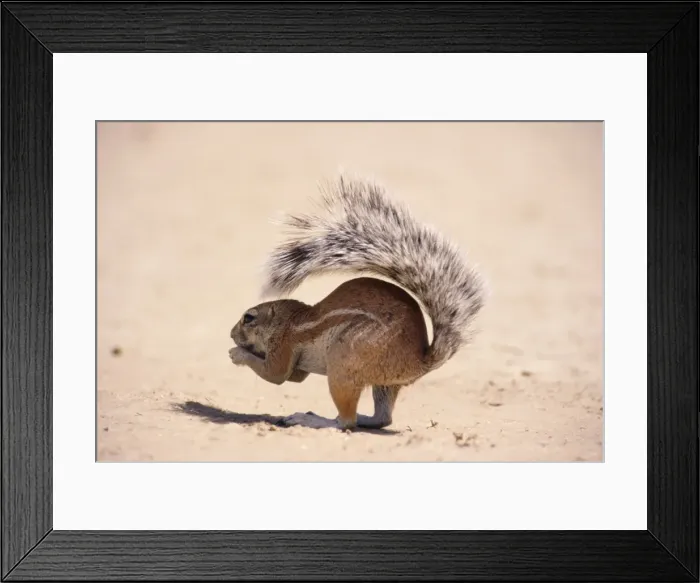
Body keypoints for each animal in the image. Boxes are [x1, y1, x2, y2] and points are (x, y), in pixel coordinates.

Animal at [229, 174, 487, 431]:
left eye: (249, 318)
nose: (231, 334)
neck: (289, 321)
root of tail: (420, 361)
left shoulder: (284, 344)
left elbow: (275, 375)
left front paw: (237, 354)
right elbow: (294, 377)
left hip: (343, 363)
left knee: (346, 421)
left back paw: (313, 418)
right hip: (384, 383)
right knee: (382, 418)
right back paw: (363, 418)